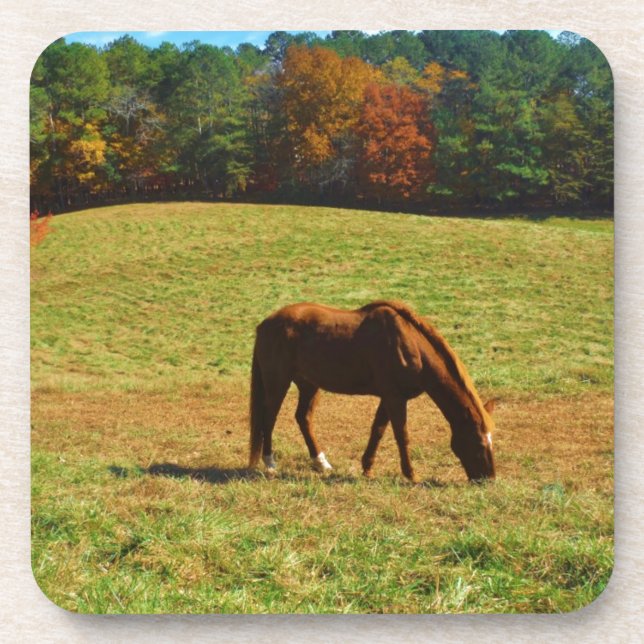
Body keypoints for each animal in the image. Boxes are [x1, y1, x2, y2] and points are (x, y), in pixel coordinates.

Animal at [248, 300, 496, 483]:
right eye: (478, 442)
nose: (489, 479)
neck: (411, 346)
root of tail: (265, 325)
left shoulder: (388, 398)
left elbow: (377, 430)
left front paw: (367, 468)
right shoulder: (395, 398)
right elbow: (401, 435)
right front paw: (411, 474)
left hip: (309, 385)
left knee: (303, 418)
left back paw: (321, 463)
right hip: (277, 382)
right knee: (268, 419)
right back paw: (270, 464)